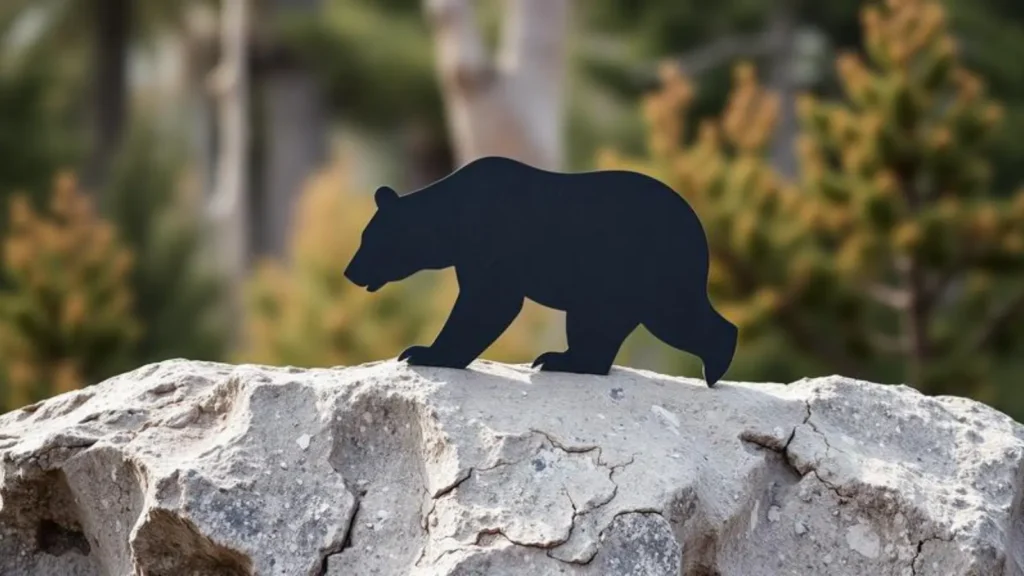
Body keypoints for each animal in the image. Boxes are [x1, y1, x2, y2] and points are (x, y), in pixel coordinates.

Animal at [343, 155, 737, 386]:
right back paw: (562, 359)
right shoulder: (470, 256)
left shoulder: (492, 244)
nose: (350, 271)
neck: (455, 219)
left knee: (675, 315)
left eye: (369, 239)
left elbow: (488, 302)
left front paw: (423, 352)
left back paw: (716, 365)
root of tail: (700, 232)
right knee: (596, 324)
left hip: (650, 267)